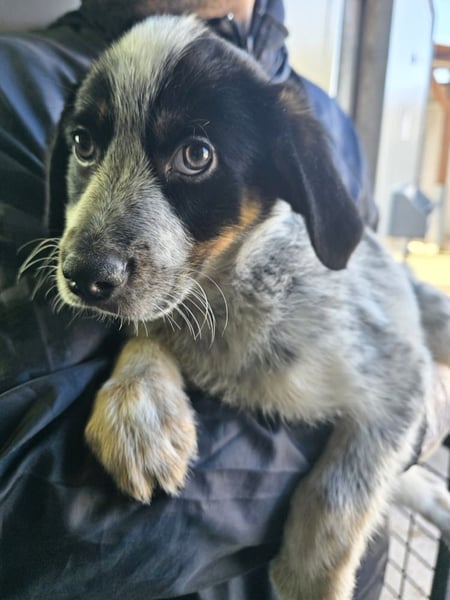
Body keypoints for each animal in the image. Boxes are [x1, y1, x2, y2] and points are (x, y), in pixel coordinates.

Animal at [24, 15, 450, 600]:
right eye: (83, 144)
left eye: (197, 156)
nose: (82, 276)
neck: (234, 297)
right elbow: (147, 329)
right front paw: (140, 407)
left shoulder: (400, 383)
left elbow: (340, 487)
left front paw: (307, 578)